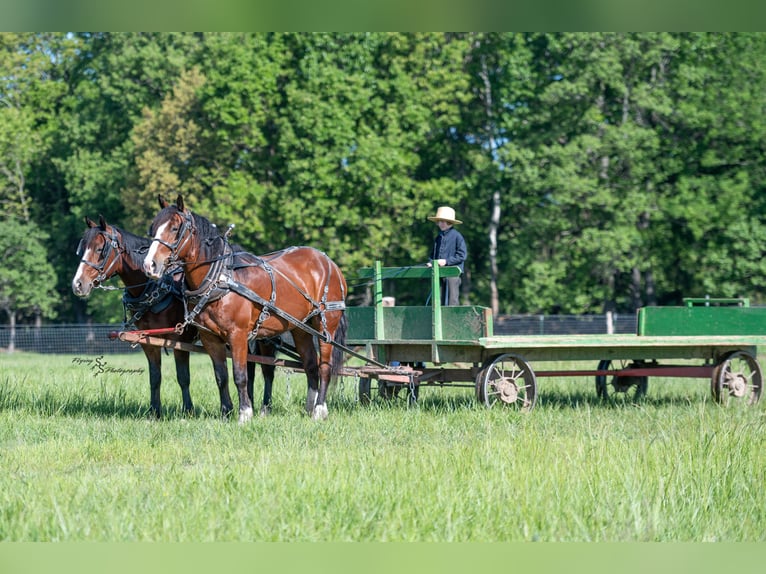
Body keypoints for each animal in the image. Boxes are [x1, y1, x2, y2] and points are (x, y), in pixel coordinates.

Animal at [142, 195, 348, 422]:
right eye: (153, 228)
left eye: (175, 228)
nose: (149, 265)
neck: (220, 278)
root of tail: (328, 262)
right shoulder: (210, 338)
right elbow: (221, 376)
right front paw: (226, 412)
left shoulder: (238, 335)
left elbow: (240, 375)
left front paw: (244, 413)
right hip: (300, 328)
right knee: (310, 366)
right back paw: (309, 409)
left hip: (325, 325)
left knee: (324, 368)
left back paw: (320, 409)